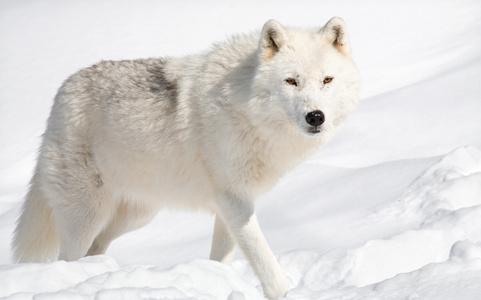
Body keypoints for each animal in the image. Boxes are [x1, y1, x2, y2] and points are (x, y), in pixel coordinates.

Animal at [11, 18, 358, 298]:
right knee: (66, 260)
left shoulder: (229, 205)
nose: (316, 117)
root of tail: (62, 91)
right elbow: (265, 261)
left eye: (327, 80)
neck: (246, 109)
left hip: (136, 216)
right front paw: (284, 293)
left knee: (95, 252)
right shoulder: (234, 201)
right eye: (291, 81)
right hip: (87, 214)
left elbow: (222, 259)